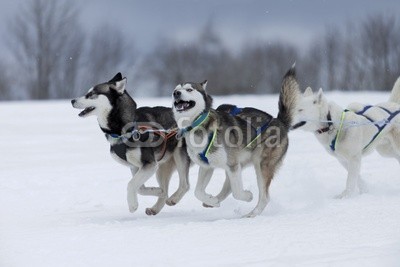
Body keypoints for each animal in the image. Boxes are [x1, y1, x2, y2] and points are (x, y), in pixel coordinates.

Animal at [72, 73, 191, 216]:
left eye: (91, 94)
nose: (72, 100)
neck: (124, 130)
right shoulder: (136, 166)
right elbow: (139, 188)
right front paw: (158, 191)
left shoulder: (149, 164)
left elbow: (131, 184)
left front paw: (133, 205)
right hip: (162, 167)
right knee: (166, 187)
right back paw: (157, 205)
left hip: (179, 155)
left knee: (185, 185)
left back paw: (173, 199)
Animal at [170, 68, 298, 218]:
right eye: (176, 89)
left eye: (189, 89)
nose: (176, 93)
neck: (198, 124)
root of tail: (280, 122)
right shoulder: (207, 166)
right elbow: (198, 192)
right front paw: (212, 200)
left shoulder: (232, 165)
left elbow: (237, 193)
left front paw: (247, 196)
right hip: (239, 164)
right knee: (228, 186)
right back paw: (215, 200)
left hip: (260, 165)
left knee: (264, 197)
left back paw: (251, 214)